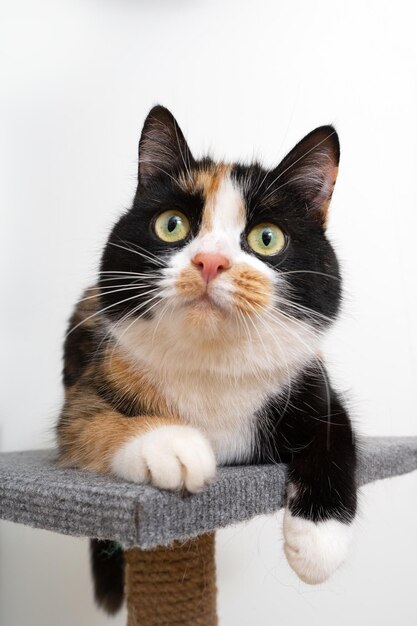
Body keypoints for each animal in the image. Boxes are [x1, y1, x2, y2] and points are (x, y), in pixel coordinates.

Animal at [57, 105, 358, 612]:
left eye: (267, 238)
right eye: (172, 224)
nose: (211, 262)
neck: (213, 364)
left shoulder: (312, 385)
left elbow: (337, 434)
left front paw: (319, 543)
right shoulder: (88, 387)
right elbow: (88, 422)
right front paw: (171, 447)